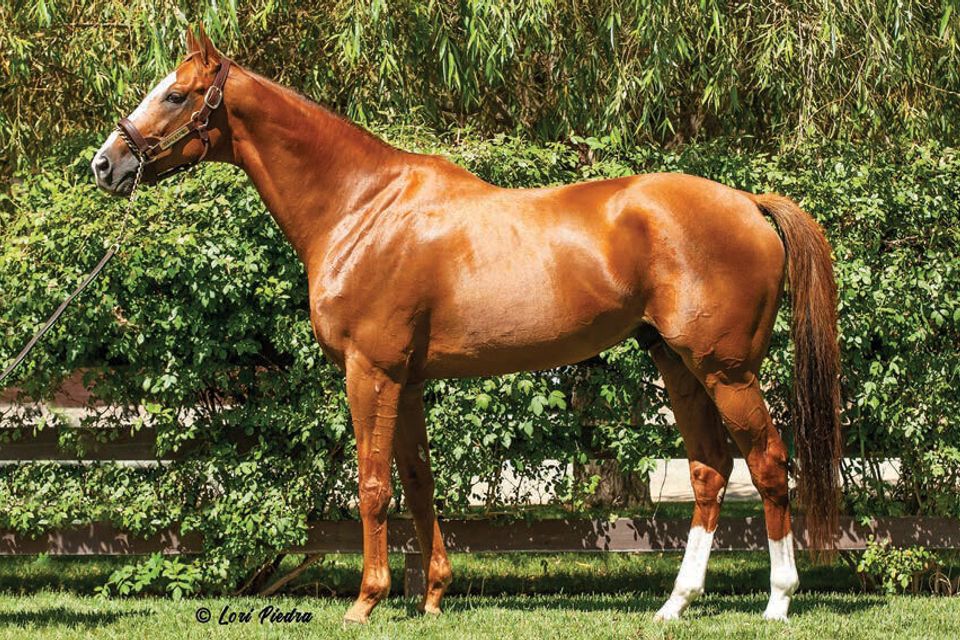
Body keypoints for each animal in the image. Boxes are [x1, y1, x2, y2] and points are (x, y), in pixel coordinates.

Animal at [92, 25, 842, 624]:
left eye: (177, 95)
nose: (106, 164)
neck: (361, 206)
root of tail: (747, 201)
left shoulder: (371, 371)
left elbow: (372, 486)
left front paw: (366, 602)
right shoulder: (408, 380)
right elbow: (419, 481)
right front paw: (431, 597)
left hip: (726, 370)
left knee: (768, 462)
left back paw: (777, 602)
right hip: (676, 363)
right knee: (711, 468)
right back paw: (675, 604)